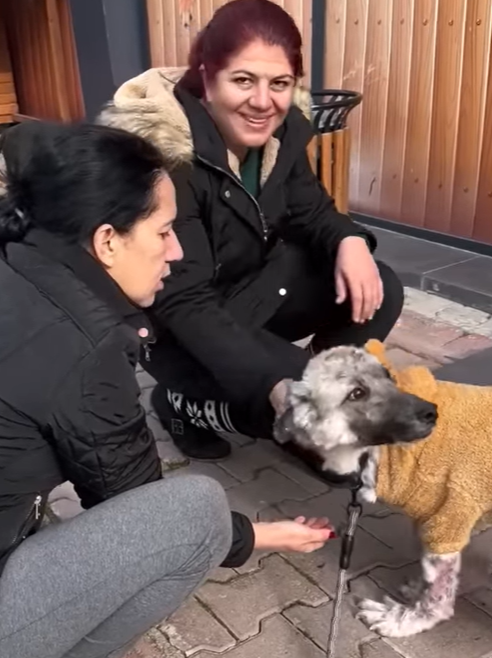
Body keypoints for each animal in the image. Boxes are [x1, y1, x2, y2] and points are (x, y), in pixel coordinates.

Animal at [274, 344, 490, 636]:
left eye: (388, 375)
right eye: (356, 393)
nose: (431, 412)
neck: (377, 456)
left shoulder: (447, 523)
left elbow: (437, 597)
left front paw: (405, 620)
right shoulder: (433, 524)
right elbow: (431, 579)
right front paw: (415, 593)